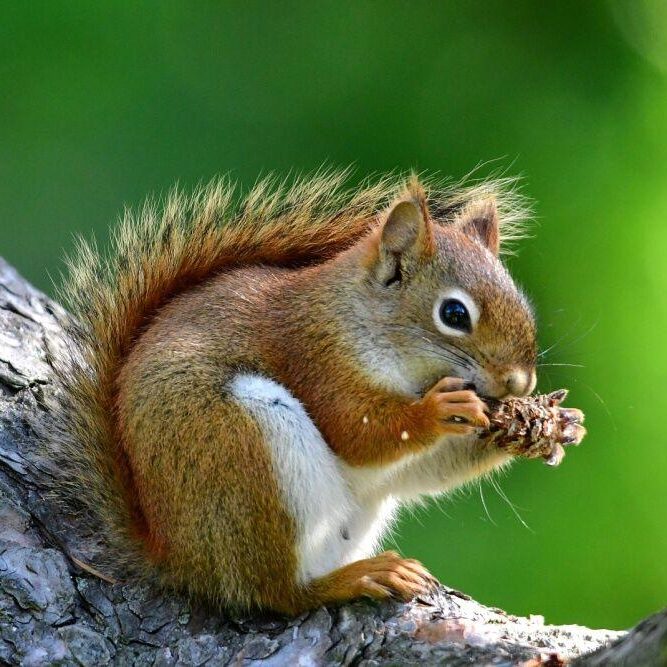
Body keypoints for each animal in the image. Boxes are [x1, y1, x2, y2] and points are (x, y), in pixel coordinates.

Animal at [48, 171, 536, 616]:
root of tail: (176, 558)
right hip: (245, 450)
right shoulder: (317, 361)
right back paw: (354, 579)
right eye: (454, 314)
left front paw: (535, 428)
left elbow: (422, 471)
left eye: (523, 302)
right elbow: (357, 433)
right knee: (278, 592)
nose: (520, 383)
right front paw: (438, 410)